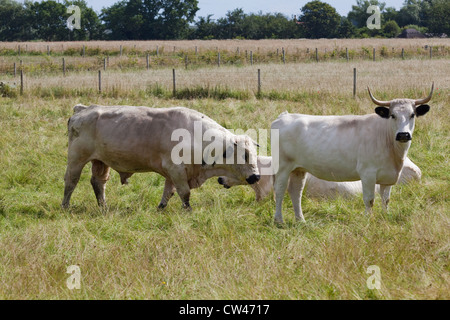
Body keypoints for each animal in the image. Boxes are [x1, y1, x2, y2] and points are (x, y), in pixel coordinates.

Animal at [270, 84, 432, 222]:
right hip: (283, 166)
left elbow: (385, 200)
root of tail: (284, 116)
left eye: (412, 115)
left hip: (299, 169)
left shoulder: (388, 176)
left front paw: (385, 217)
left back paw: (301, 220)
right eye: (392, 115)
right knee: (280, 189)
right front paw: (368, 220)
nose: (403, 135)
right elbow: (369, 199)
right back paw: (279, 220)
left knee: (295, 191)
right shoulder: (367, 173)